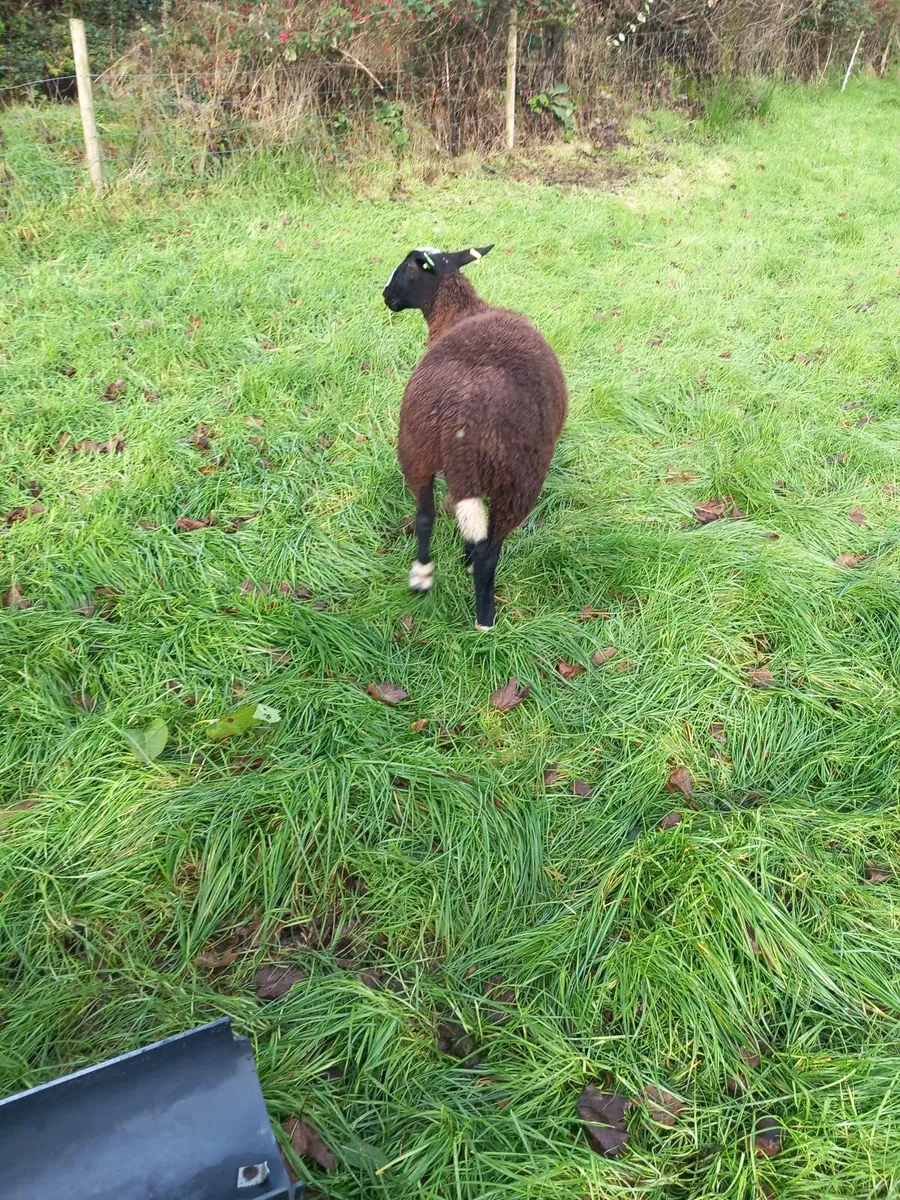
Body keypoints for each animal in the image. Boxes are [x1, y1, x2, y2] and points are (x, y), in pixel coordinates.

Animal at [382, 245, 568, 630]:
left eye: (406, 269)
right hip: (516, 478)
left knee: (427, 516)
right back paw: (485, 617)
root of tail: (461, 414)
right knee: (488, 549)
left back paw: (425, 577)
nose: (385, 296)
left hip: (417, 447)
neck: (460, 311)